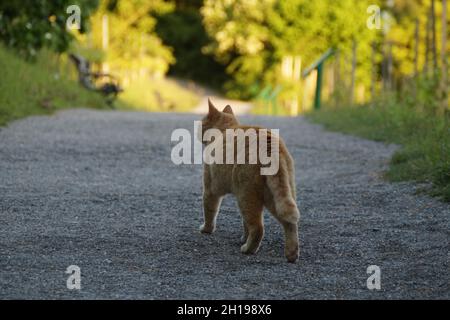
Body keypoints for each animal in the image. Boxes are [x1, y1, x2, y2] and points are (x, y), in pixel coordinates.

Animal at [200, 99, 298, 262]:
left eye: (202, 122)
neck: (225, 129)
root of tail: (270, 146)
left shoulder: (210, 190)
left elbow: (210, 212)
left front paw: (207, 229)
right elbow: (245, 224)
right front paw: (244, 238)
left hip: (247, 196)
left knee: (258, 228)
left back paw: (248, 249)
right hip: (275, 197)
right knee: (290, 222)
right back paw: (291, 254)